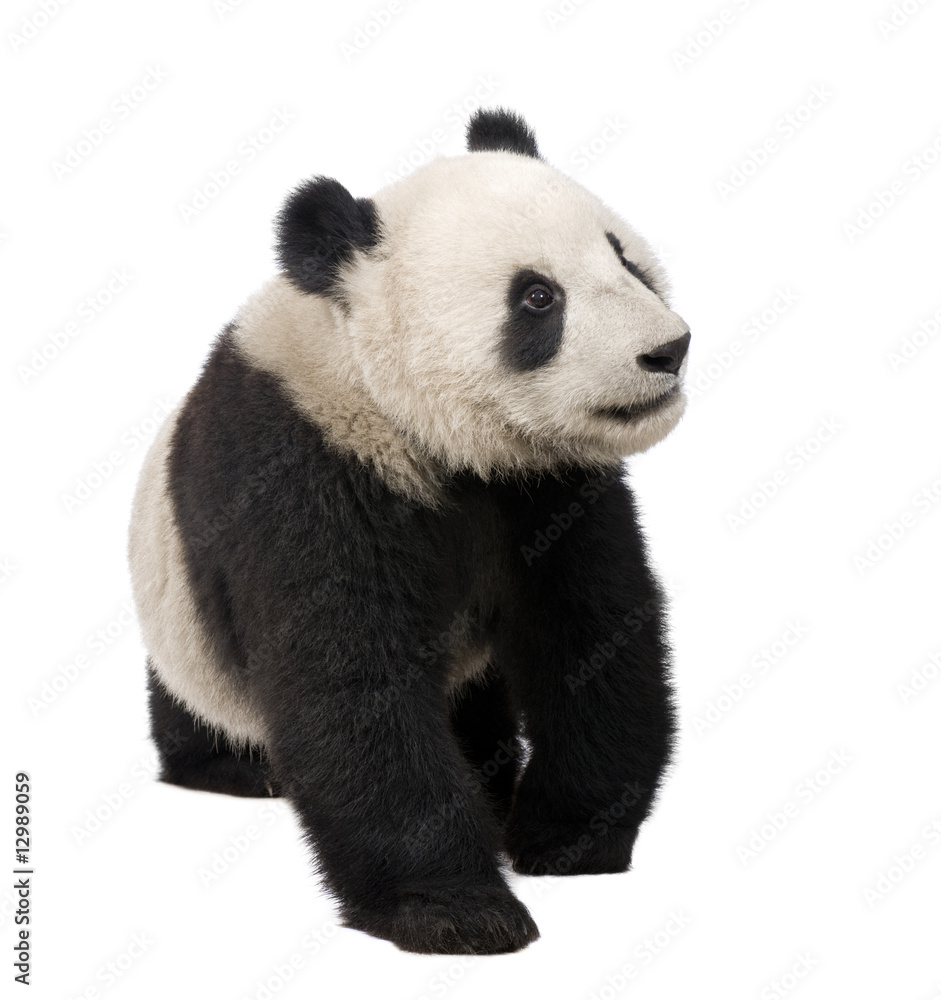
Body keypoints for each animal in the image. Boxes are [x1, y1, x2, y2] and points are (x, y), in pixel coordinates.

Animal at [128, 108, 690, 955]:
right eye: (536, 297)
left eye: (624, 258)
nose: (666, 349)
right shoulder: (302, 464)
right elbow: (350, 679)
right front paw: (453, 909)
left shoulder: (548, 486)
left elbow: (589, 632)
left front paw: (565, 836)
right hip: (177, 623)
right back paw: (236, 770)